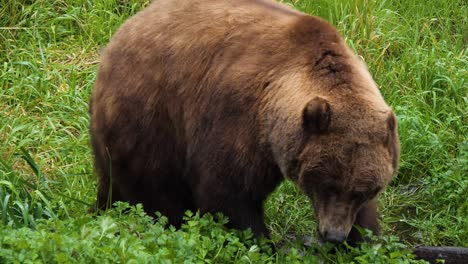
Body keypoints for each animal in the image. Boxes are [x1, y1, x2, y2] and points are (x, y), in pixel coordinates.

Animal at [90, 0, 398, 244]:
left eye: (362, 190)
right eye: (328, 184)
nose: (333, 235)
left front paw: (363, 239)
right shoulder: (236, 113)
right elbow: (227, 192)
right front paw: (262, 242)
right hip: (150, 117)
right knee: (153, 190)